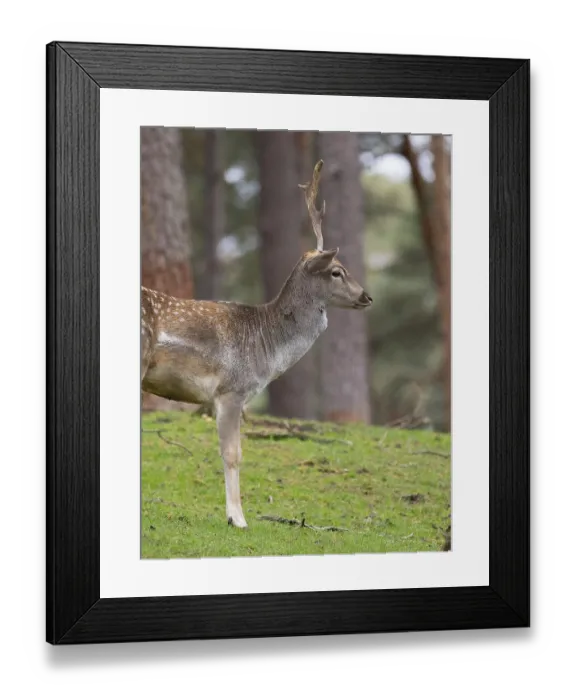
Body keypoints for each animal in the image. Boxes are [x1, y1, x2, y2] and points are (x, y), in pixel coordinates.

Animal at [141, 160, 372, 528]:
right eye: (337, 271)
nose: (367, 297)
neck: (266, 350)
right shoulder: (231, 390)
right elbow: (233, 454)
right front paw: (237, 518)